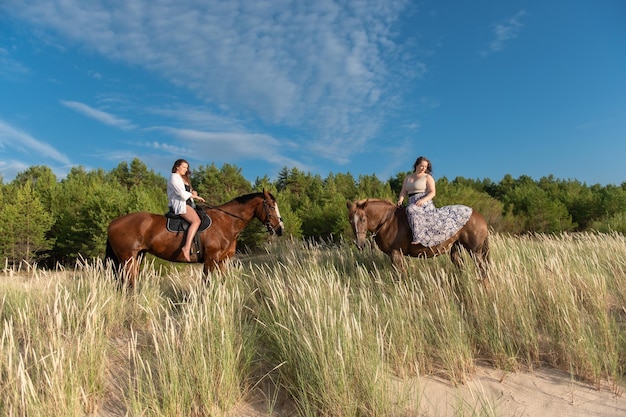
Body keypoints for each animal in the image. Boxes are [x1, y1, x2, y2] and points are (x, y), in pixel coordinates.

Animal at [106, 188, 284, 286]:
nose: (280, 229)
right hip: (127, 259)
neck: (226, 221)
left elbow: (222, 282)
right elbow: (206, 283)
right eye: (270, 206)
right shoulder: (210, 259)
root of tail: (113, 223)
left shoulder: (222, 261)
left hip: (136, 257)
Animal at [346, 200, 488, 278]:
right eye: (350, 221)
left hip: (475, 251)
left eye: (363, 219)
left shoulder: (396, 253)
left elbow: (401, 275)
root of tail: (479, 217)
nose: (360, 244)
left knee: (483, 270)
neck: (387, 221)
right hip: (456, 249)